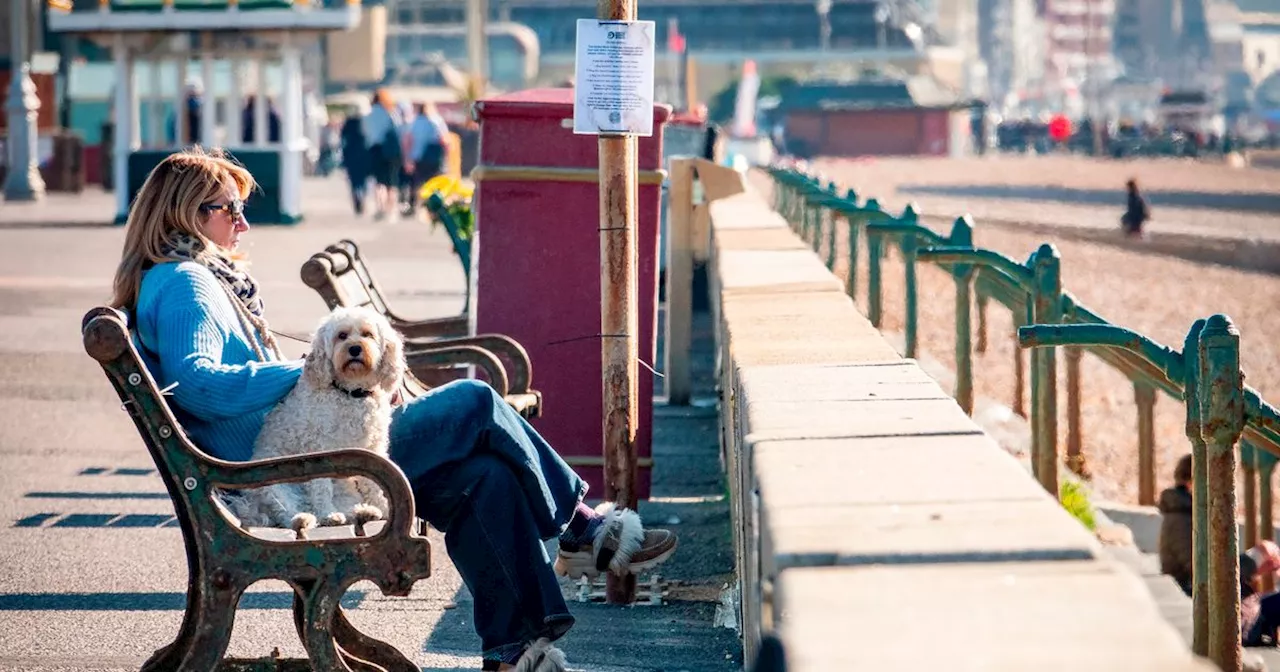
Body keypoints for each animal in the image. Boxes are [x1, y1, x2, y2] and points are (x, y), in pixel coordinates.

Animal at [230, 305, 404, 532]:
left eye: (368, 334)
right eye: (342, 336)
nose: (354, 348)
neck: (351, 393)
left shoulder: (373, 447)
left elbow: (375, 484)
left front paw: (383, 506)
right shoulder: (319, 449)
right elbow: (321, 488)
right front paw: (327, 514)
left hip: (343, 486)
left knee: (346, 504)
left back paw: (364, 511)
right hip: (274, 487)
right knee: (287, 512)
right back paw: (307, 518)